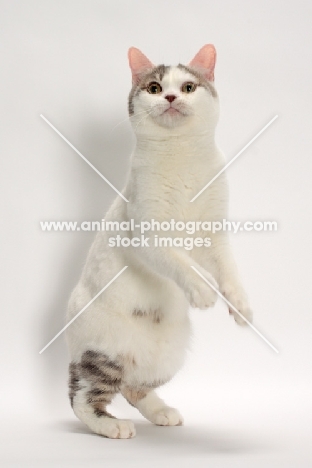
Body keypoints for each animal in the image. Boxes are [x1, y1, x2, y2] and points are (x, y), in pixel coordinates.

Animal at [65, 44, 251, 438]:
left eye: (188, 87)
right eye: (153, 87)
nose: (169, 97)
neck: (182, 158)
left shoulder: (214, 234)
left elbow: (228, 270)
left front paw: (241, 305)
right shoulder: (148, 233)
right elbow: (180, 262)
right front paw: (203, 290)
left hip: (169, 354)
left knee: (134, 387)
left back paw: (162, 412)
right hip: (104, 352)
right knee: (83, 394)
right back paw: (111, 426)